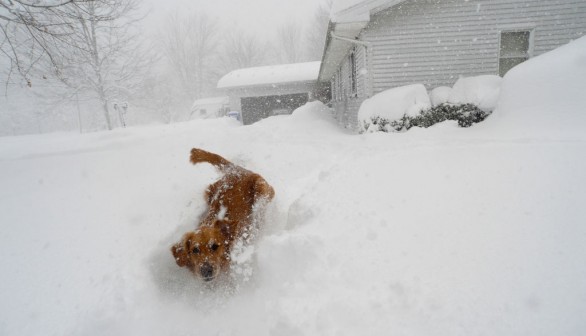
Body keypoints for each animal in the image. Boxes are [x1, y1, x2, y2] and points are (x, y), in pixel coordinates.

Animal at [171, 148, 274, 282]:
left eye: (215, 246)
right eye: (195, 250)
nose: (206, 270)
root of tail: (235, 168)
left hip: (263, 187)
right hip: (209, 191)